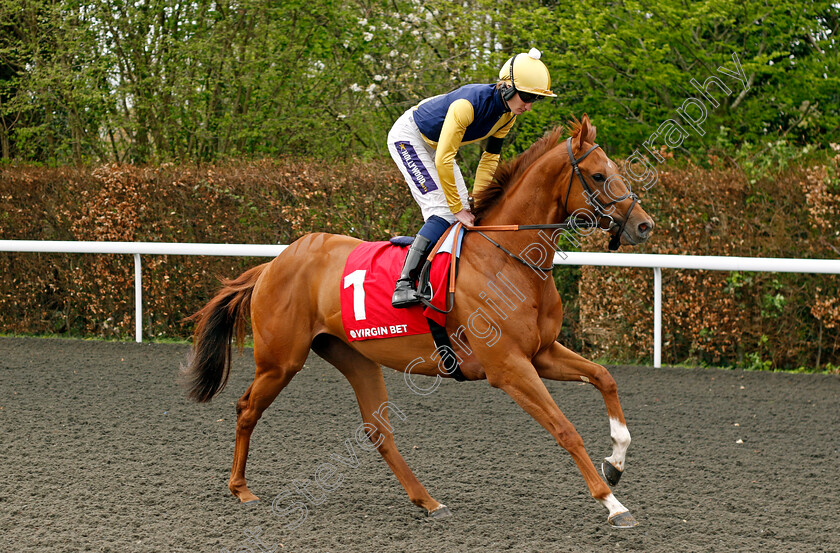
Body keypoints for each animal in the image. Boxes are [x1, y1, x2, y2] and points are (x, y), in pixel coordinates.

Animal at [182, 113, 656, 528]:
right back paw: (240, 488)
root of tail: (273, 263)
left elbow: (604, 376)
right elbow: (565, 429)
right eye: (598, 176)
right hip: (281, 361)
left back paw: (429, 501)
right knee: (246, 408)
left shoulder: (541, 353)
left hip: (354, 357)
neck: (508, 259)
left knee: (378, 432)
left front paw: (615, 463)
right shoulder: (508, 366)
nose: (644, 225)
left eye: (616, 169)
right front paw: (613, 504)